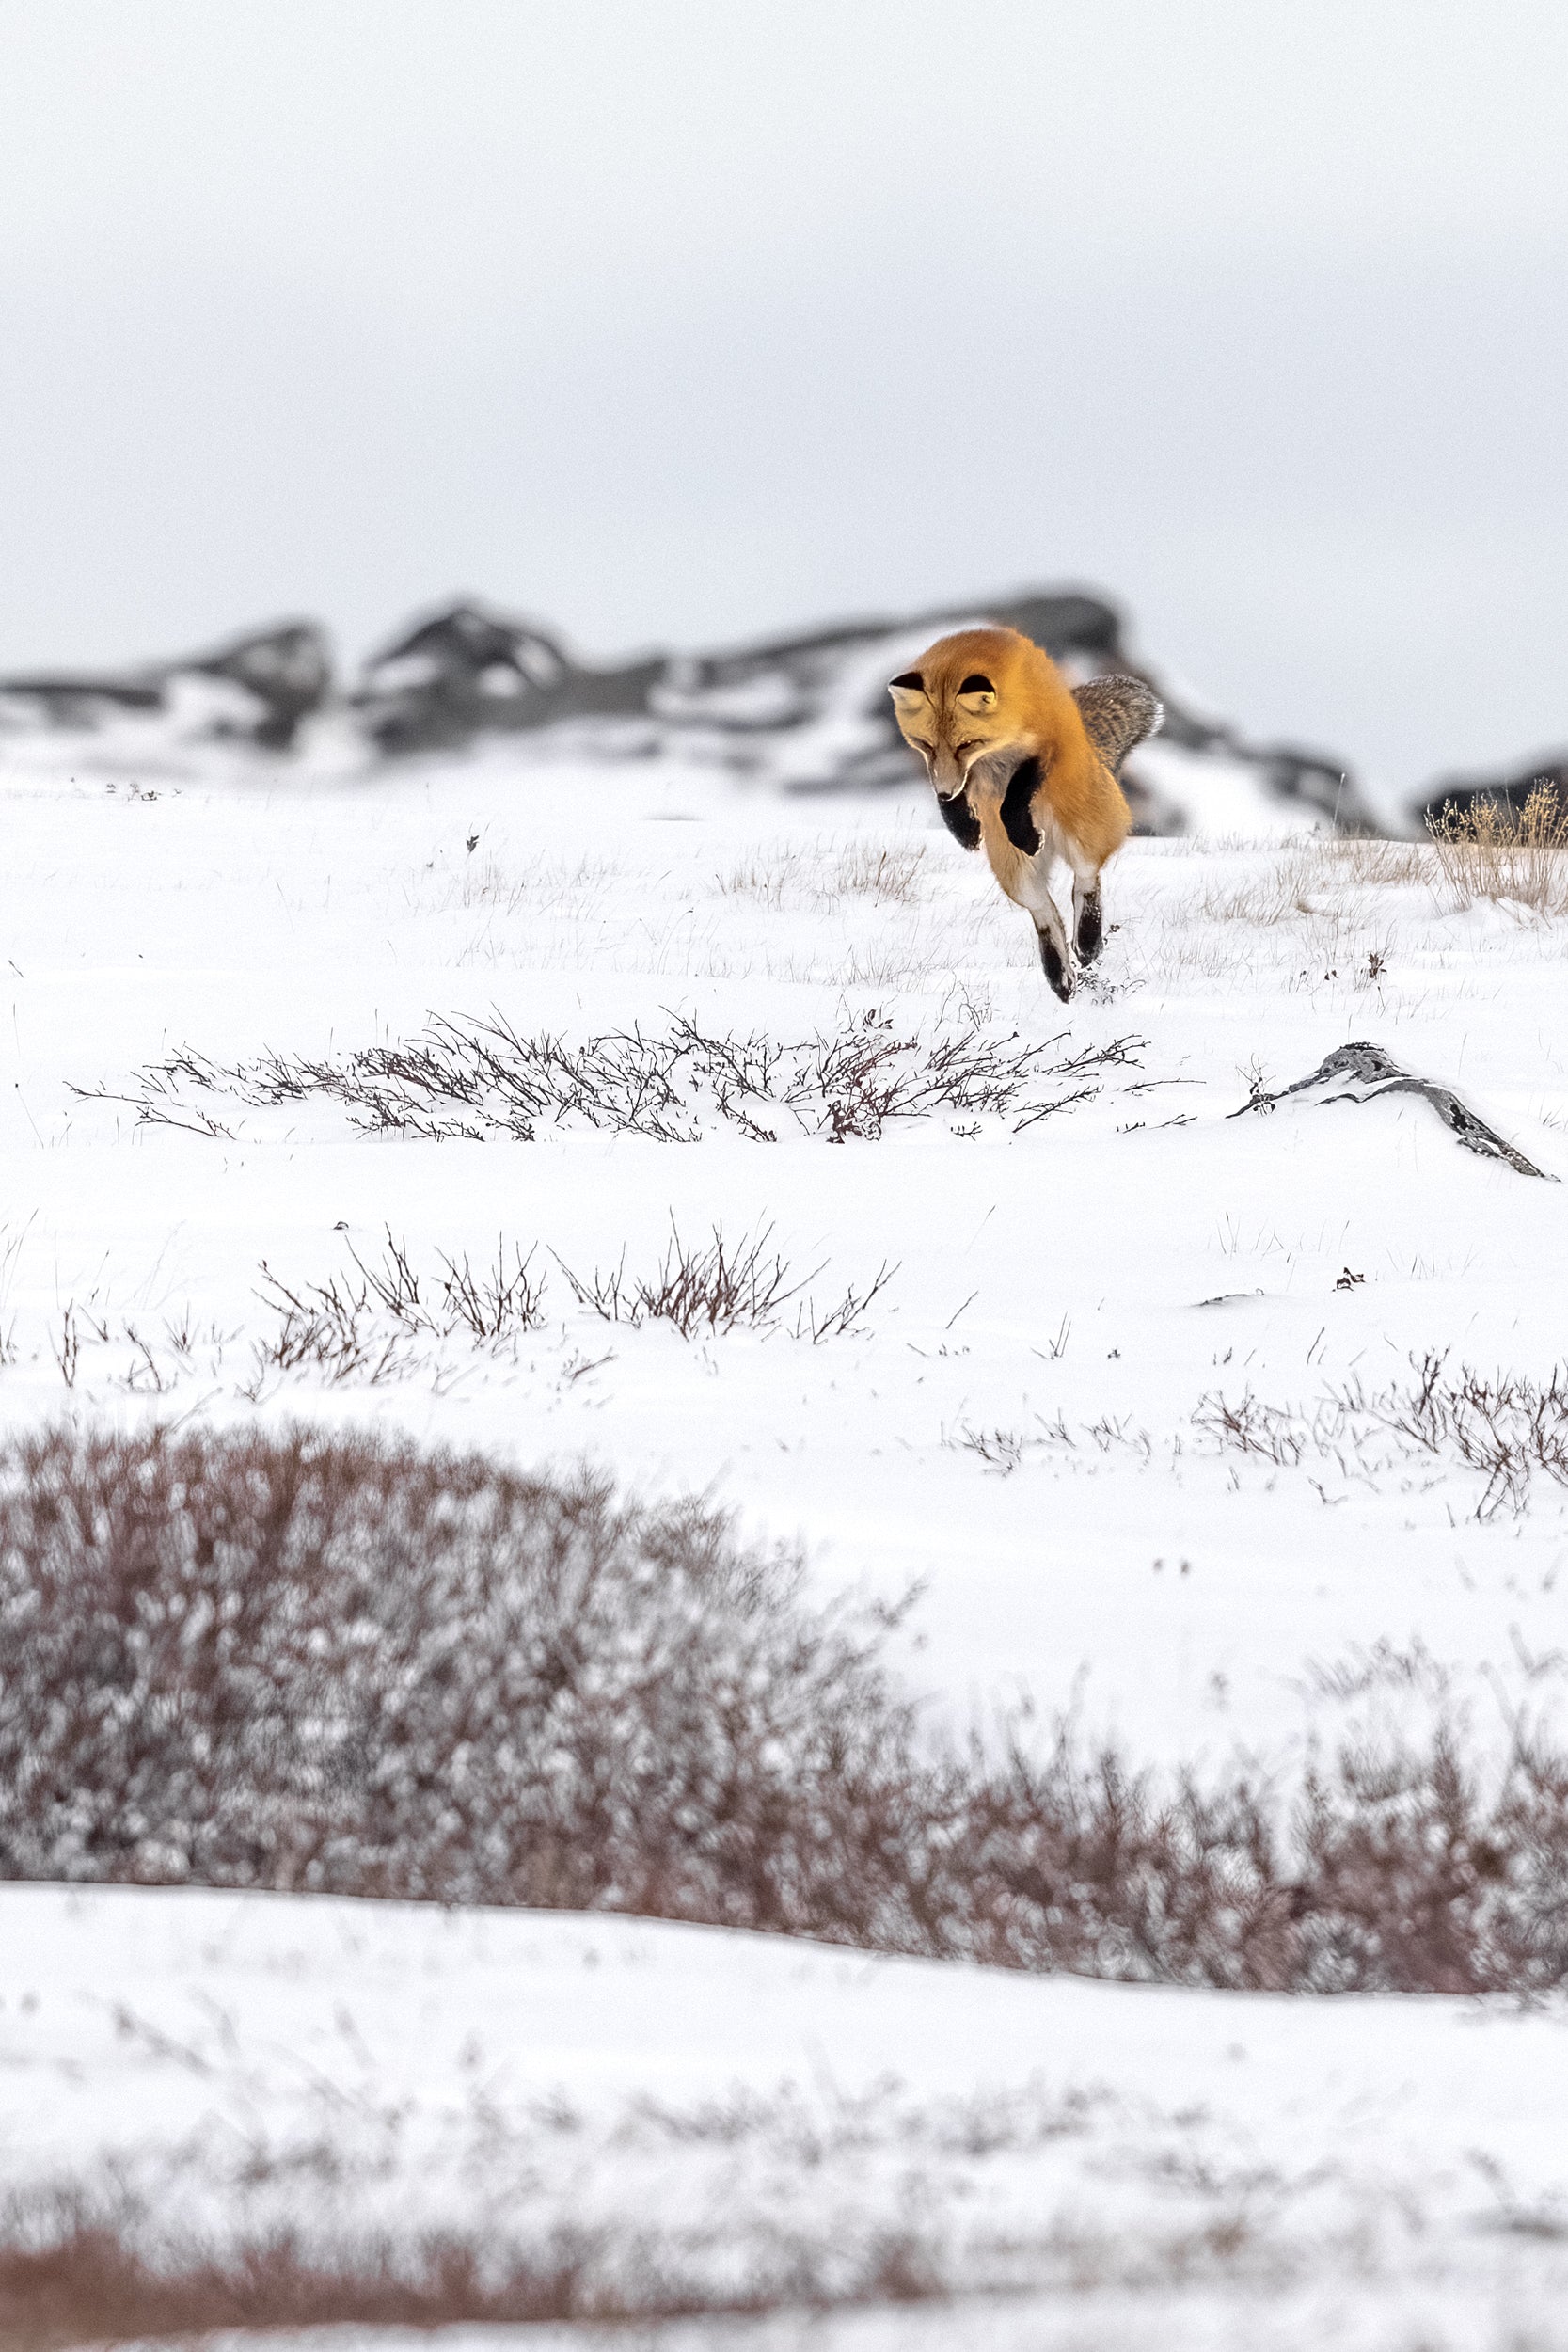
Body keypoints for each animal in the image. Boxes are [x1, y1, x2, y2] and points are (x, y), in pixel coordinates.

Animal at [888, 626, 1161, 1000]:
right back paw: (1060, 975)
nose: (946, 791)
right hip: (1015, 873)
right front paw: (964, 828)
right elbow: (959, 803)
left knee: (1086, 882)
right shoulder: (959, 776)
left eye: (965, 744)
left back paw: (1087, 941)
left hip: (1083, 838)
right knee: (1046, 914)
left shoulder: (1046, 747)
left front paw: (1024, 833)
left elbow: (1014, 797)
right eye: (926, 745)